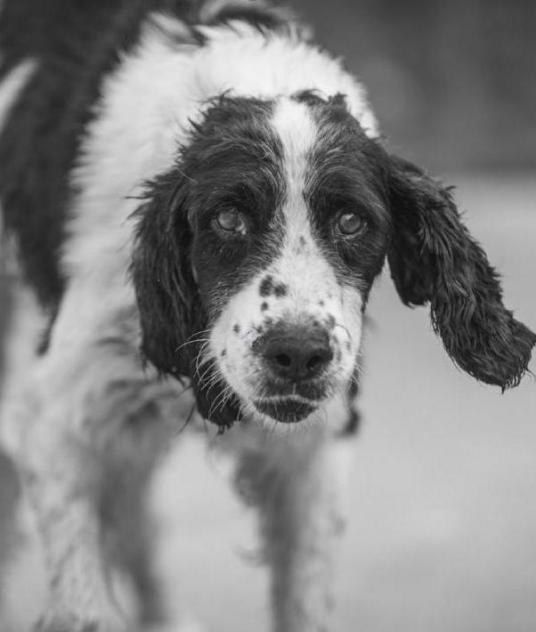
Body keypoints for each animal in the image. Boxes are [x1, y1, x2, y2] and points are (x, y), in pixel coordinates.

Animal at [0, 0, 532, 628]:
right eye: (228, 219)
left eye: (352, 221)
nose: (298, 353)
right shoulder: (54, 421)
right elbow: (86, 604)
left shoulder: (315, 451)